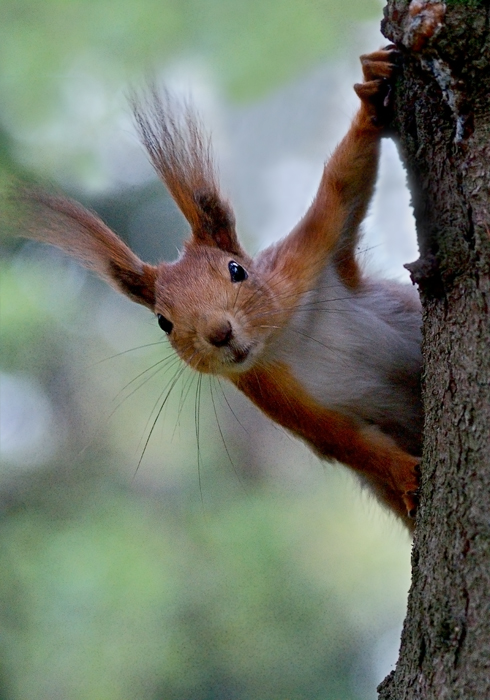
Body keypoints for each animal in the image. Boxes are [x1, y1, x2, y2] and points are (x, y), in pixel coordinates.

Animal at [18, 47, 422, 532]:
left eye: (237, 270)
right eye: (163, 322)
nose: (219, 332)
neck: (283, 339)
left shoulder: (305, 261)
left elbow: (343, 185)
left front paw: (370, 91)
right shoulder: (276, 396)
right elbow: (352, 444)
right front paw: (407, 473)